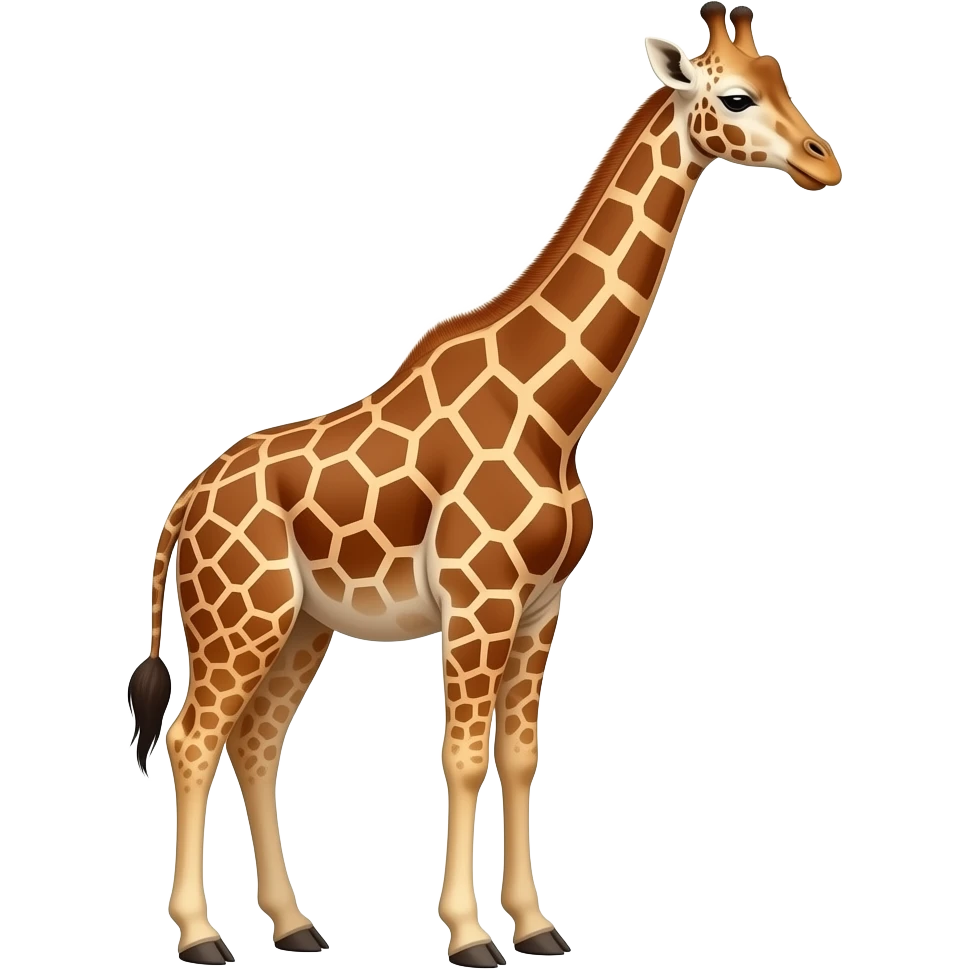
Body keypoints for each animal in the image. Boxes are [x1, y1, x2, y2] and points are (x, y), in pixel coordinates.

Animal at [127, 3, 842, 966]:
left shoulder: (542, 606)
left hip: (302, 623)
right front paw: (470, 934)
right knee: (193, 736)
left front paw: (535, 925)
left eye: (783, 80)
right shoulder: (480, 601)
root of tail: (185, 505)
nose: (823, 162)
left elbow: (521, 756)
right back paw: (201, 935)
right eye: (734, 95)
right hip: (241, 617)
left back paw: (295, 922)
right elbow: (462, 757)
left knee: (259, 739)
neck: (556, 412)